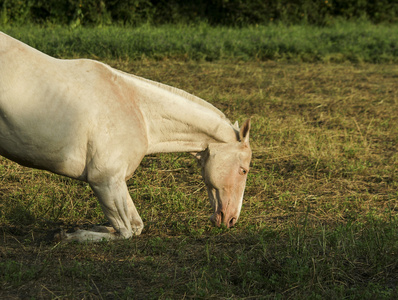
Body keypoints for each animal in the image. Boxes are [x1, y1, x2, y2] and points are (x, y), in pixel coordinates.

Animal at [0, 31, 252, 243]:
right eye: (243, 170)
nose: (230, 219)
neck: (139, 113)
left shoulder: (115, 182)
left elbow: (135, 226)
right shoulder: (105, 180)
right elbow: (127, 232)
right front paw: (69, 235)